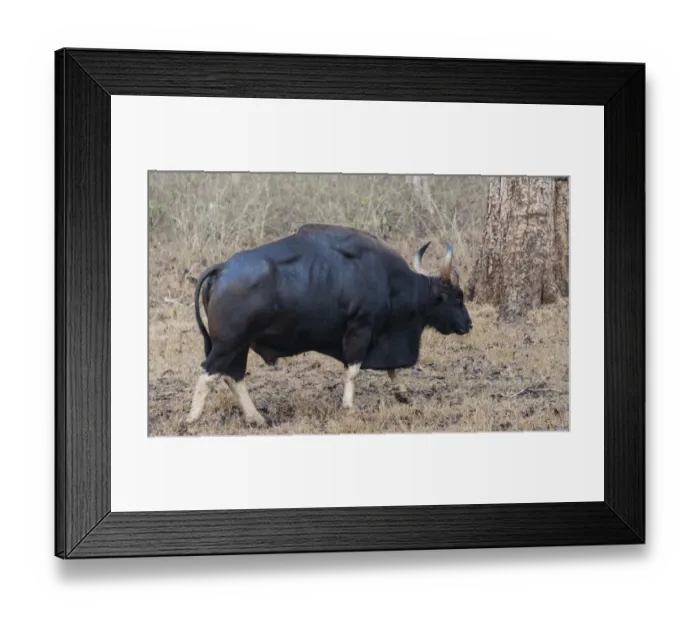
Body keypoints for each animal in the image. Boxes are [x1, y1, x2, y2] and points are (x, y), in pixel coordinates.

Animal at [186, 223, 472, 426]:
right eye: (457, 297)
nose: (468, 324)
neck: (388, 280)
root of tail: (222, 269)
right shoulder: (361, 330)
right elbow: (353, 371)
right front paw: (348, 406)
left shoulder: (381, 335)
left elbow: (391, 367)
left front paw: (401, 393)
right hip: (228, 343)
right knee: (208, 373)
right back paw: (192, 418)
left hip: (240, 344)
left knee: (233, 376)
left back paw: (256, 418)